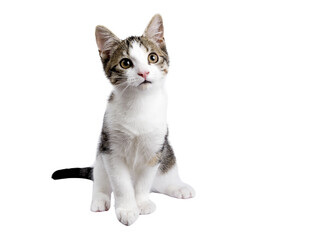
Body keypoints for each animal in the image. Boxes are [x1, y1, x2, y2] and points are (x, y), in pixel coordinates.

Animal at [52, 14, 195, 226]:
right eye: (126, 63)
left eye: (152, 57)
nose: (144, 72)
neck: (139, 103)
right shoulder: (111, 149)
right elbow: (121, 183)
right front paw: (127, 209)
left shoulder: (155, 150)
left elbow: (144, 181)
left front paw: (141, 203)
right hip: (100, 156)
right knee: (100, 180)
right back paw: (100, 199)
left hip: (167, 156)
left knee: (161, 181)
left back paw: (177, 187)